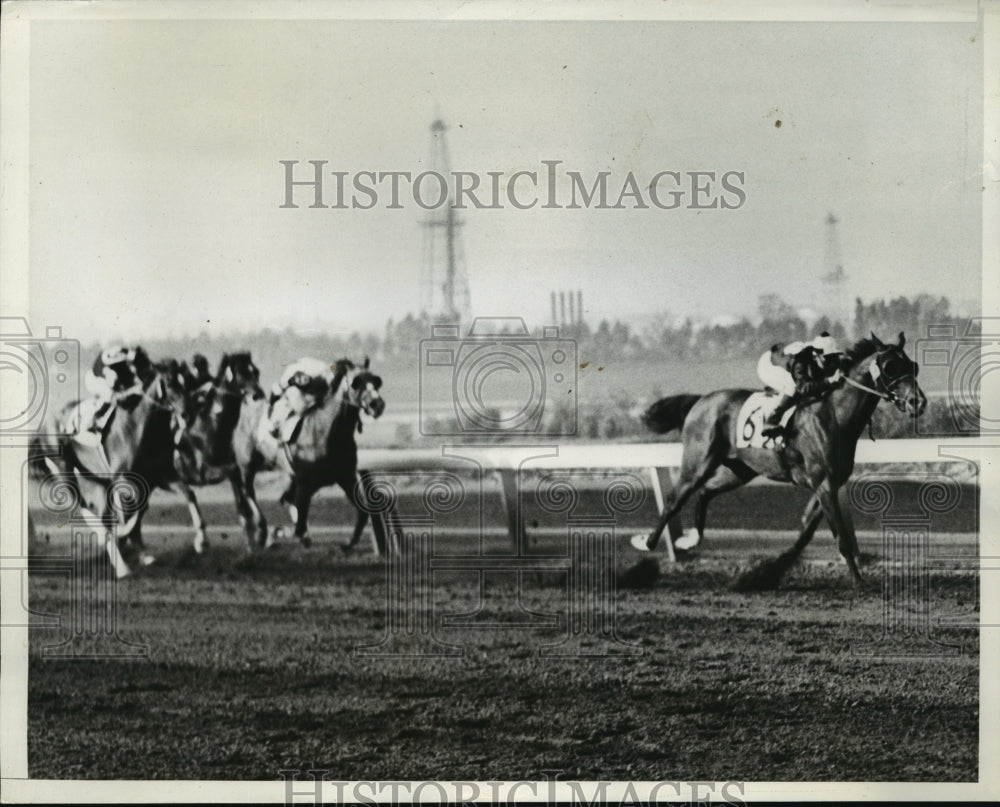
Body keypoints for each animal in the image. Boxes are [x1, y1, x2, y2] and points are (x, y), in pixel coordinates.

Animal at [632, 332, 928, 592]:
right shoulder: (824, 484)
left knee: (705, 492)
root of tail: (701, 400)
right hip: (698, 463)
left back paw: (689, 541)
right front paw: (859, 582)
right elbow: (841, 538)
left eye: (913, 366)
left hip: (739, 471)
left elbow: (805, 534)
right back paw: (646, 543)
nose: (918, 402)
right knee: (674, 500)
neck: (834, 415)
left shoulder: (829, 484)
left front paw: (769, 572)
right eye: (890, 367)